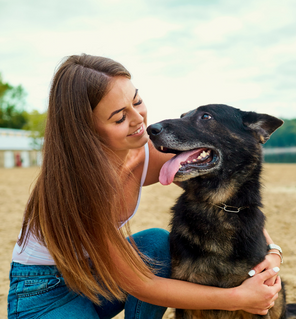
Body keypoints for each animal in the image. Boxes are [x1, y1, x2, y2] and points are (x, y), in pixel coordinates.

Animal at [147, 105, 292, 319]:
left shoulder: (260, 301)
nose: (150, 130)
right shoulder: (185, 304)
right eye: (182, 116)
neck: (218, 206)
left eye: (206, 116)